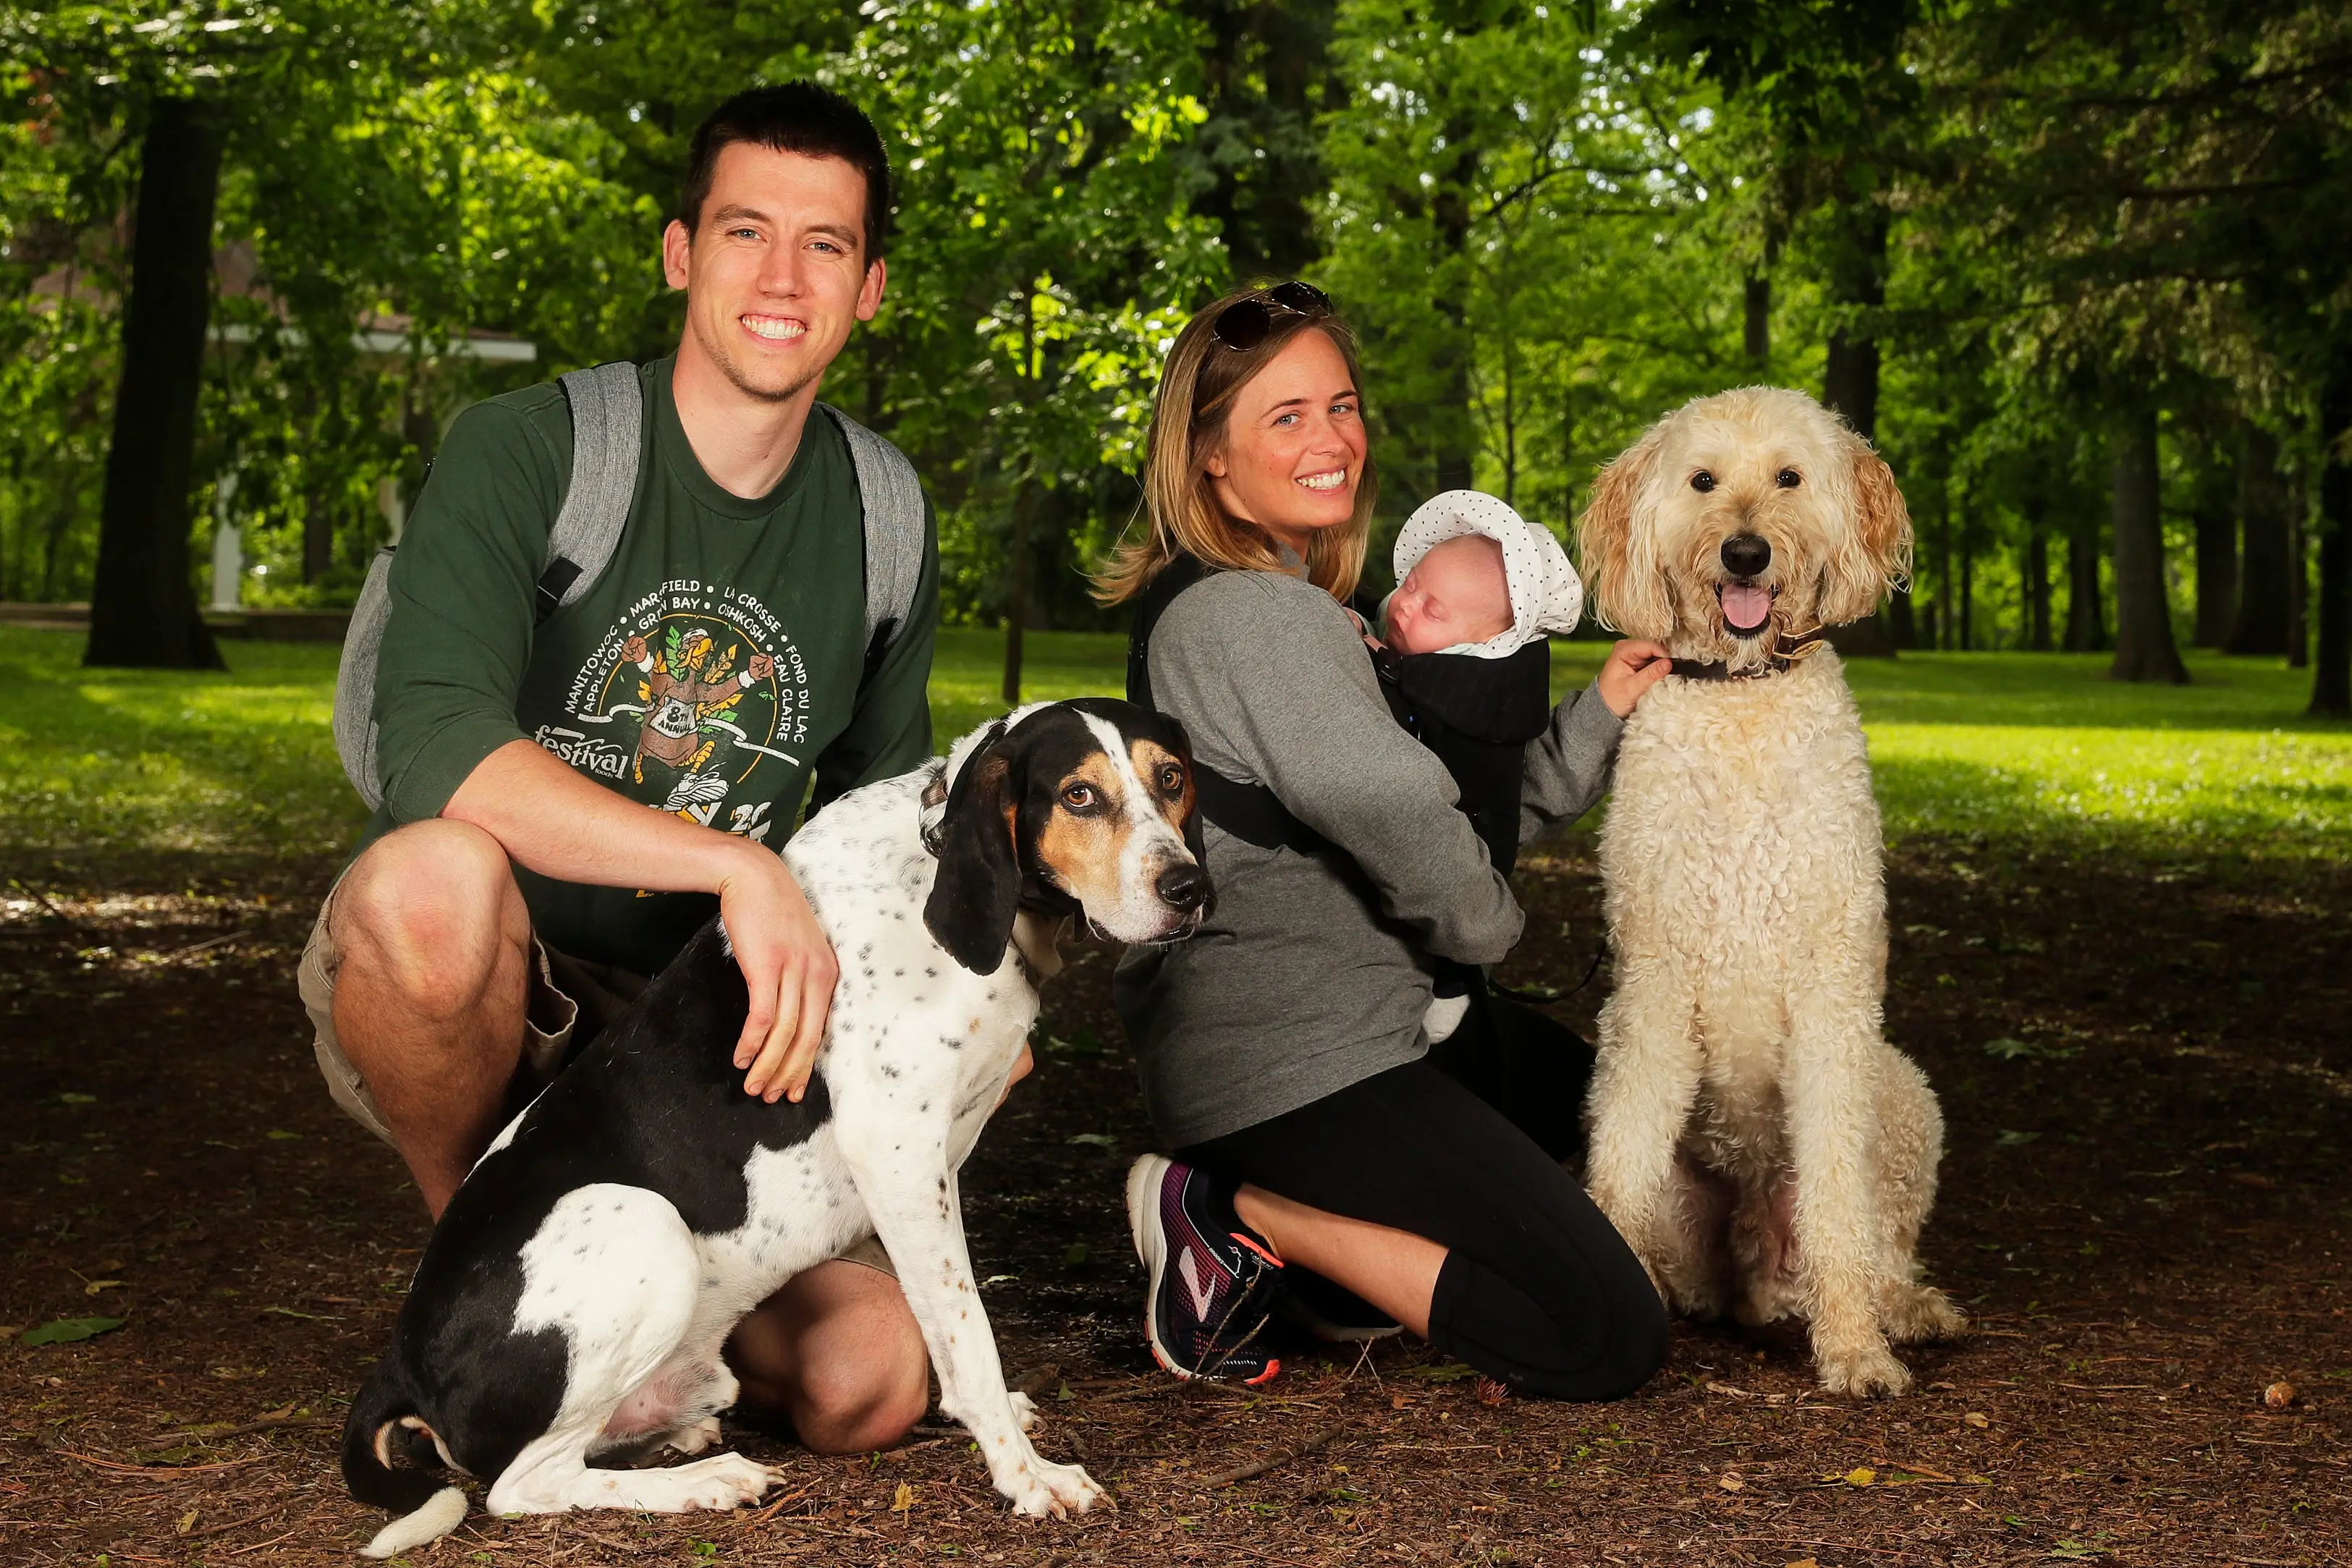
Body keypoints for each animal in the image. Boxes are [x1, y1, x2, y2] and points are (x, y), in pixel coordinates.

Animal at [343, 710, 1214, 1561]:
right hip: (639, 1219)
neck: (933, 868)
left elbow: (940, 1317)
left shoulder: (932, 1167)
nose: (1189, 888)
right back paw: (703, 1482)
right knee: (524, 1485)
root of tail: (401, 1358)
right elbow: (969, 1335)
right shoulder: (899, 1154)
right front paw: (1026, 1475)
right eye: (1078, 795)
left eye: (1172, 779)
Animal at [1581, 390, 1966, 1401]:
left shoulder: (1832, 992)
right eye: (1702, 480)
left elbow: (1836, 1195)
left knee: (1878, 1239)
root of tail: (1754, 1237)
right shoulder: (1652, 987)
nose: (1745, 552)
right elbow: (1620, 1164)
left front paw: (1855, 1349)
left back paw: (1903, 1308)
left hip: (1901, 1094)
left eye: (1790, 477)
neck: (1742, 700)